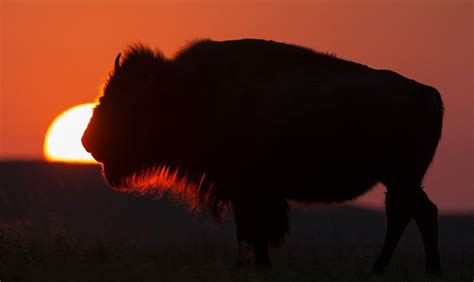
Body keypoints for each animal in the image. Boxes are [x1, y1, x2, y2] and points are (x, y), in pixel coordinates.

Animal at [82, 38, 444, 274]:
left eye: (126, 100)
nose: (87, 141)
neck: (185, 91)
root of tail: (427, 93)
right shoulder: (248, 192)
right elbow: (253, 230)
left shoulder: (248, 190)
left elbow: (254, 230)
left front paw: (260, 266)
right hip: (398, 180)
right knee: (406, 214)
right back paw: (383, 268)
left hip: (400, 177)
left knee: (419, 213)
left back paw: (423, 269)